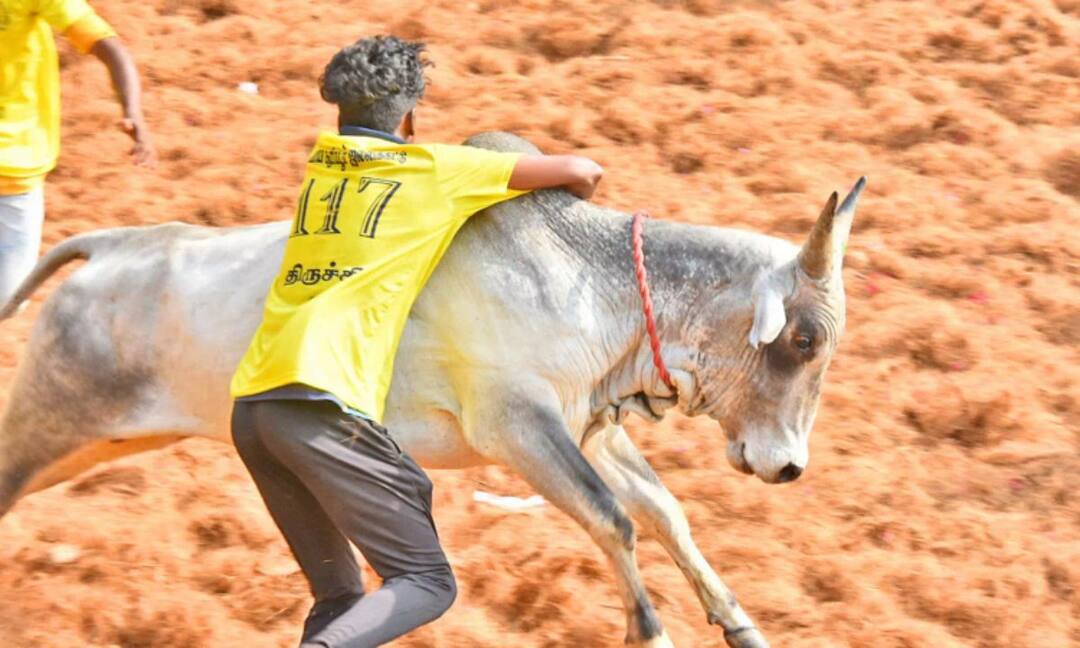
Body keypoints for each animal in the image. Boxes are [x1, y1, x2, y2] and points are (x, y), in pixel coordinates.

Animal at [0, 132, 865, 648]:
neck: (589, 277)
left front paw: (739, 624)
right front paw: (649, 632)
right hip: (45, 427)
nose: (789, 466)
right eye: (804, 340)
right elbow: (613, 521)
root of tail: (118, 245)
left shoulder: (590, 427)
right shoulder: (518, 428)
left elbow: (663, 513)